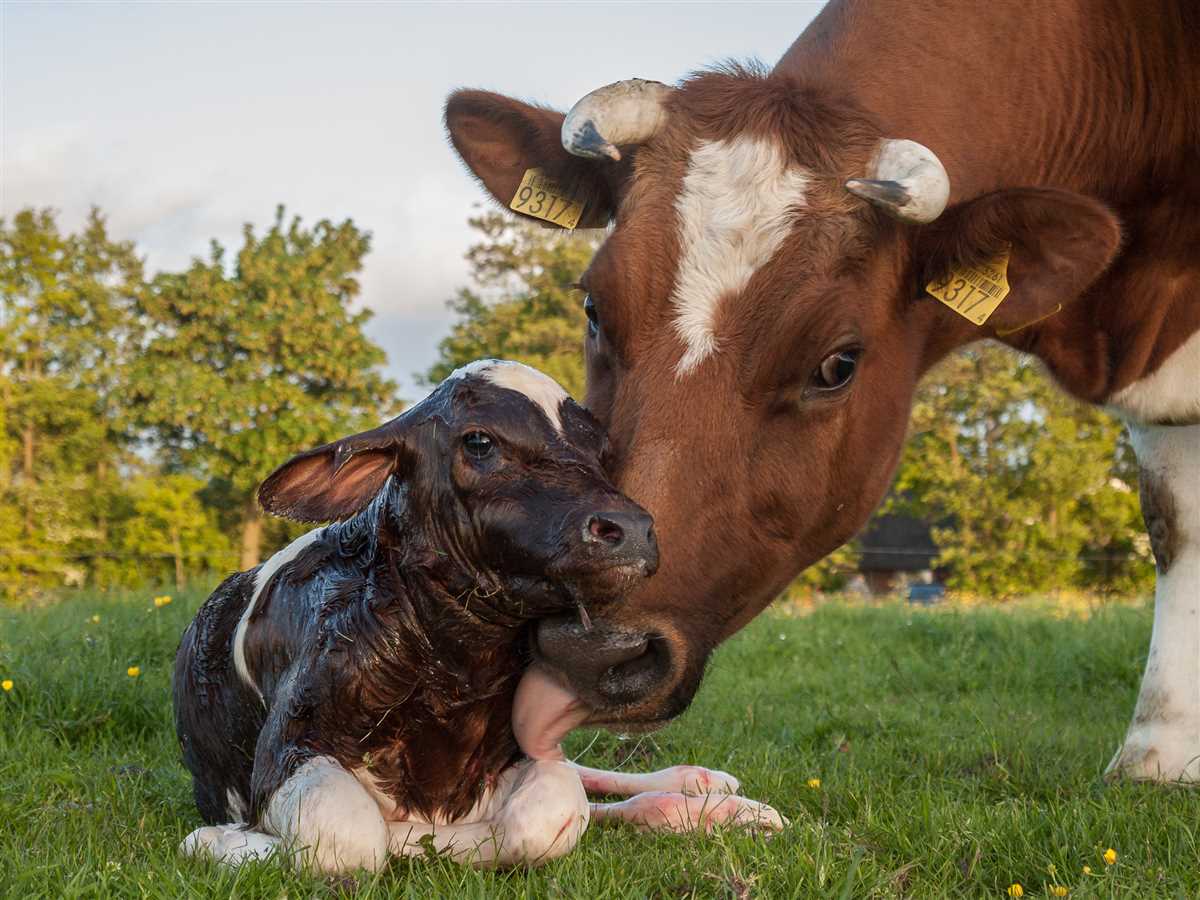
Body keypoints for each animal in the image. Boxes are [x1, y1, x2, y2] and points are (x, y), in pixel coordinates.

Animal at [174, 360, 782, 873]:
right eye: (479, 441)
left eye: (601, 450)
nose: (630, 529)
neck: (454, 668)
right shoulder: (289, 743)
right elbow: (352, 837)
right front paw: (222, 839)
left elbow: (552, 811)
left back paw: (709, 793)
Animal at [446, 0, 1195, 782]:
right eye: (594, 309)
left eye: (837, 364)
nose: (592, 648)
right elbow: (1171, 521)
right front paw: (1159, 751)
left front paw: (1158, 753)